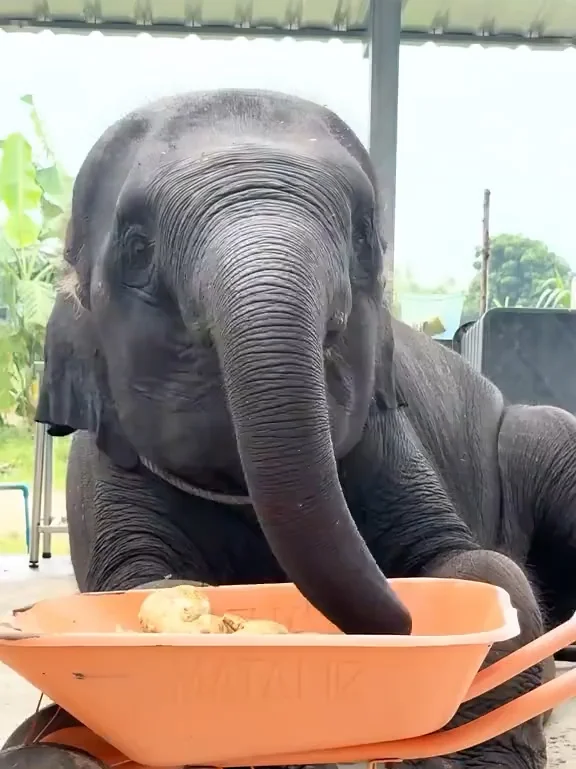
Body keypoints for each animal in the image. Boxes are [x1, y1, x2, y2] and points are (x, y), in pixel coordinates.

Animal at [34, 89, 576, 769]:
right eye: (136, 248)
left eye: (365, 237)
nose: (400, 624)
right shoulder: (105, 473)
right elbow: (140, 587)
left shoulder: (388, 436)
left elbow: (477, 568)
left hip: (538, 437)